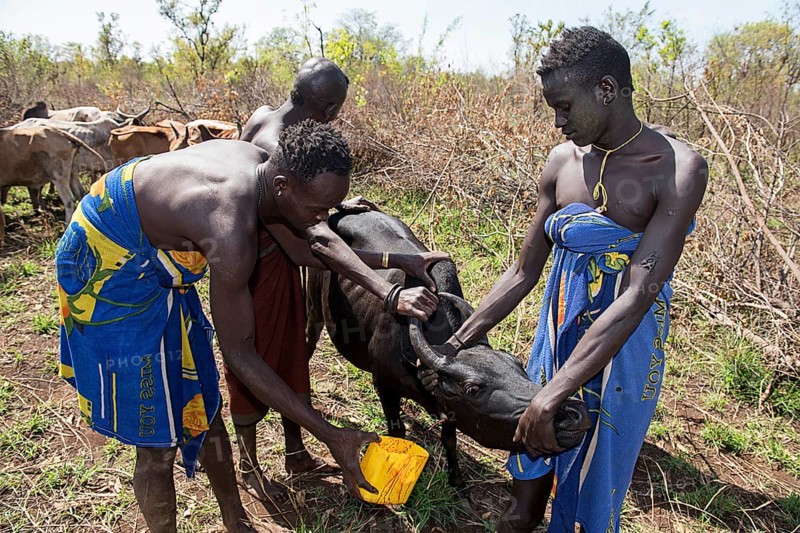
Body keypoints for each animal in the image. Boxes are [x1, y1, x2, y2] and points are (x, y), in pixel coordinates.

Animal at [306, 210, 591, 487]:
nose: (573, 413)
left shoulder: (449, 409)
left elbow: (449, 438)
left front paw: (456, 477)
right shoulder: (385, 386)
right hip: (313, 308)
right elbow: (397, 433)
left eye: (518, 365)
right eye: (473, 389)